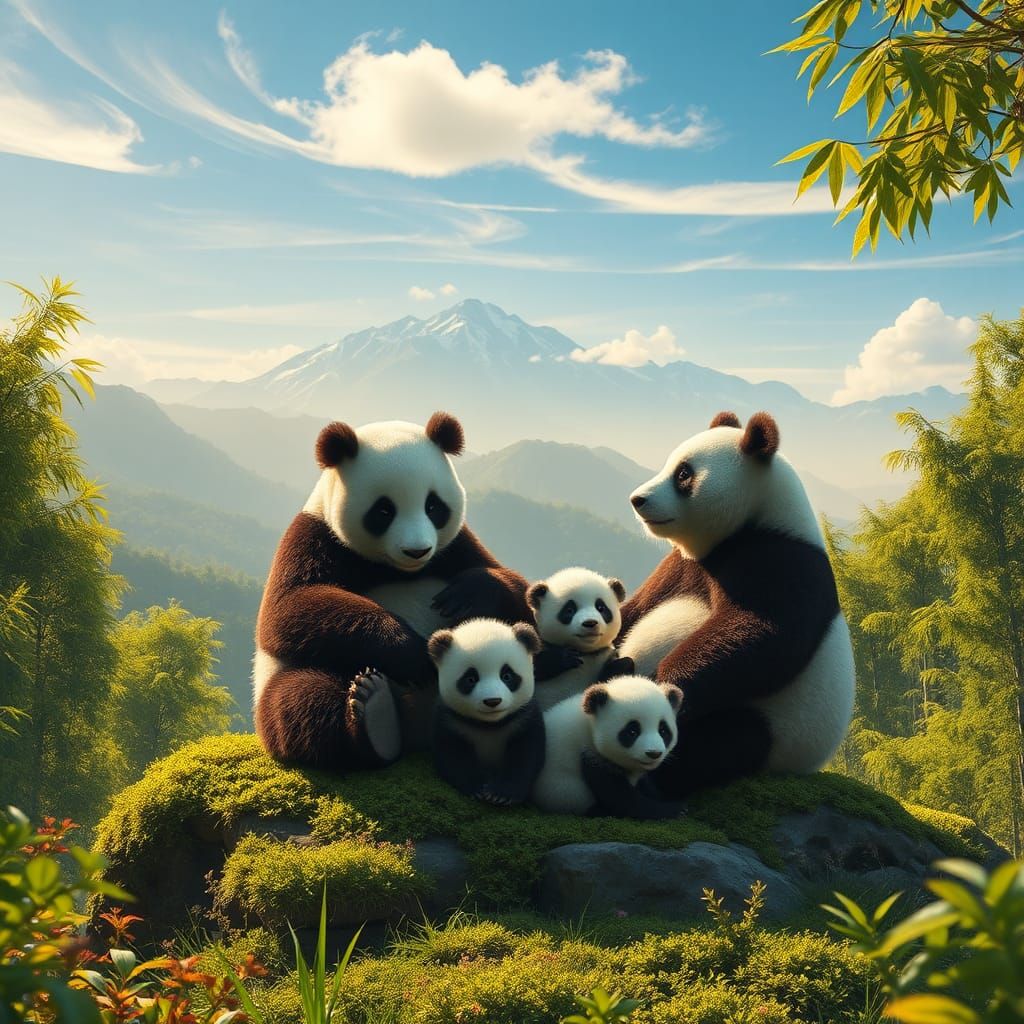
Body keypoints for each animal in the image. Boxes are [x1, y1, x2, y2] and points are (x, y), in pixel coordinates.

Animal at [253, 412, 530, 771]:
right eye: (384, 510)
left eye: (433, 506)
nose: (417, 550)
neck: (396, 569)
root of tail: (419, 736)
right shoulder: (316, 535)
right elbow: (288, 608)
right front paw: (413, 655)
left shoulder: (456, 545)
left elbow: (515, 586)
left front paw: (465, 595)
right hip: (284, 681)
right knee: (302, 700)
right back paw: (375, 719)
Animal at [428, 618, 545, 805]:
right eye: (470, 679)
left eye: (507, 676)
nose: (492, 701)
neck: (489, 725)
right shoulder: (450, 718)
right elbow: (451, 752)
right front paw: (476, 787)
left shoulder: (524, 716)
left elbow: (527, 753)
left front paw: (502, 794)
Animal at [526, 567, 634, 710]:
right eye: (569, 610)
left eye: (601, 607)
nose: (590, 623)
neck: (585, 652)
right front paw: (566, 657)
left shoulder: (603, 655)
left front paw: (622, 665)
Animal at [532, 676, 685, 819]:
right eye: (632, 732)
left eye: (663, 731)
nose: (654, 753)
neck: (590, 723)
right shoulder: (589, 754)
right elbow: (620, 798)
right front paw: (676, 810)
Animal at [618, 410, 856, 798]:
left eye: (683, 474)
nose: (638, 499)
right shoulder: (682, 563)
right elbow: (633, 609)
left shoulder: (781, 560)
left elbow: (761, 636)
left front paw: (659, 684)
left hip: (775, 730)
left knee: (717, 744)